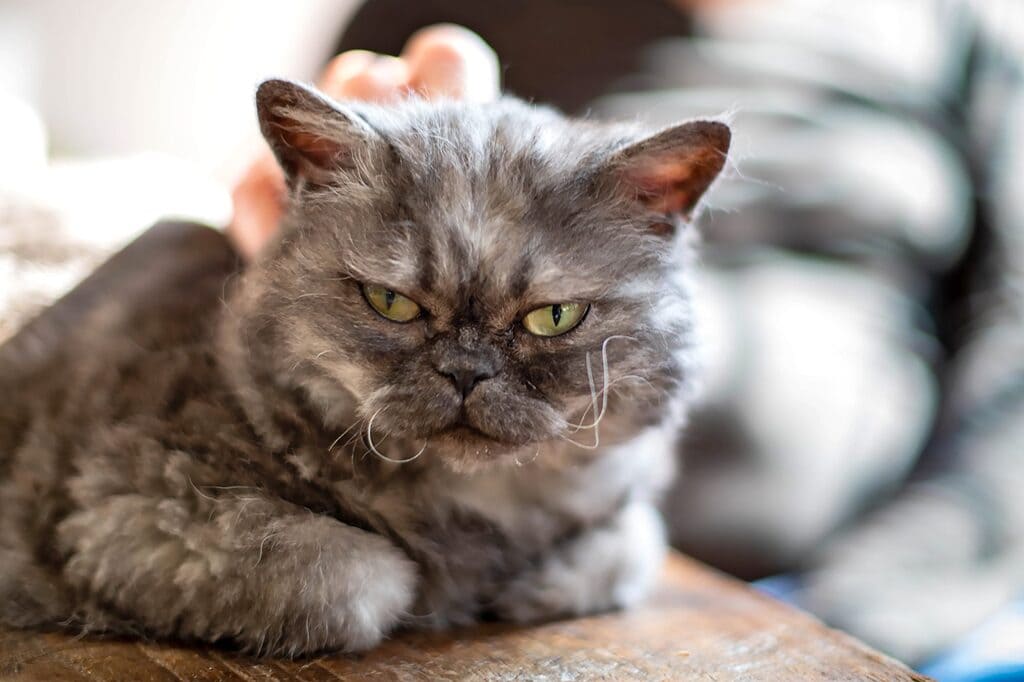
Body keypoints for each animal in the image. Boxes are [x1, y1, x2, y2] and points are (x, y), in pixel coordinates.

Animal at [0, 78, 729, 655]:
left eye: (553, 317)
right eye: (391, 302)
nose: (466, 372)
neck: (472, 506)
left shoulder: (624, 497)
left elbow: (632, 543)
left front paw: (531, 586)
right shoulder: (126, 511)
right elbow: (367, 575)